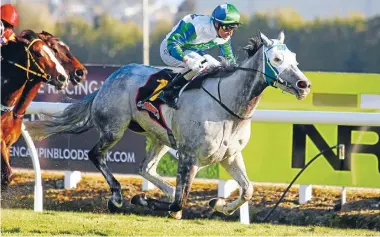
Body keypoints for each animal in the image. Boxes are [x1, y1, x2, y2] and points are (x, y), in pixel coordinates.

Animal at [27, 31, 312, 218]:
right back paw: (117, 197)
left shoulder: (230, 156)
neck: (227, 105)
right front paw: (142, 199)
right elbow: (179, 203)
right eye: (276, 59)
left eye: (295, 57)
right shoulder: (189, 156)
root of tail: (111, 78)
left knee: (144, 167)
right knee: (96, 154)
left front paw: (218, 204)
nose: (304, 84)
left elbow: (248, 190)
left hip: (160, 138)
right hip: (114, 128)